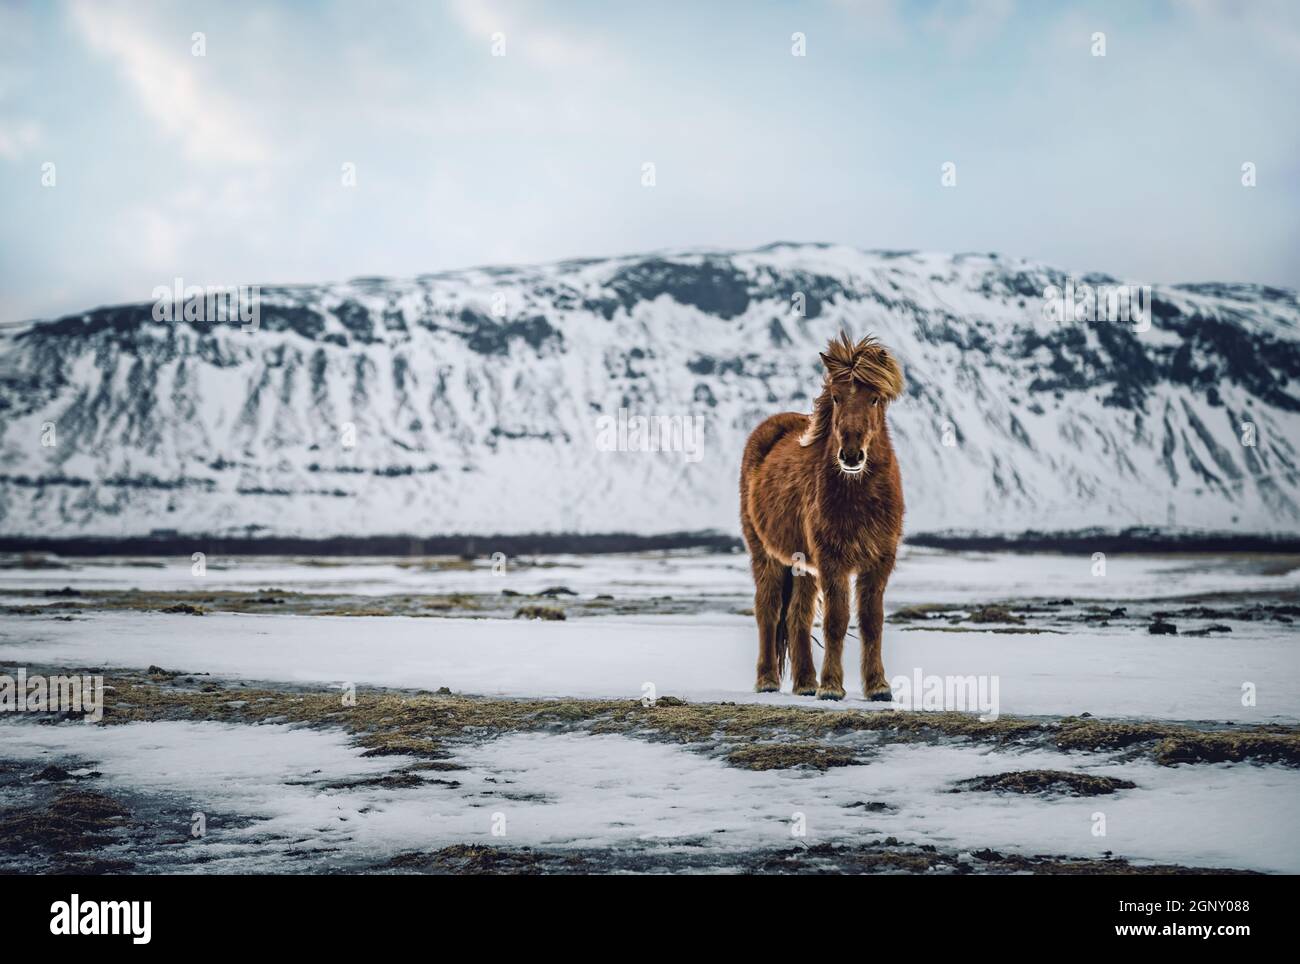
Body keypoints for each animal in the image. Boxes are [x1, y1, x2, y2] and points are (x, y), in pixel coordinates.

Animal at [743, 332, 904, 701]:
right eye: (836, 396)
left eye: (875, 398)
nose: (851, 455)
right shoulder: (833, 560)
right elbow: (837, 621)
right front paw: (831, 687)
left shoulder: (880, 560)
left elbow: (872, 620)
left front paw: (878, 687)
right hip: (765, 554)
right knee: (768, 610)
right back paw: (767, 680)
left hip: (803, 564)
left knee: (797, 616)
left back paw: (805, 683)